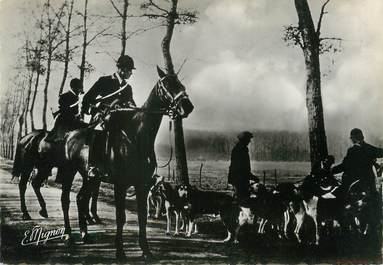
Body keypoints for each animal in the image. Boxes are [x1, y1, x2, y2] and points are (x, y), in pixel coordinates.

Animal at [61, 66, 194, 260]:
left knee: (81, 199)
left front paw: (146, 250)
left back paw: (85, 235)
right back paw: (68, 236)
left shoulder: (142, 185)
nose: (188, 106)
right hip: (69, 171)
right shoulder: (120, 185)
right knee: (65, 200)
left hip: (89, 177)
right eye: (168, 84)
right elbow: (120, 216)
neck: (137, 137)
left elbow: (142, 216)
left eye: (181, 84)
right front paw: (120, 251)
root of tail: (70, 134)